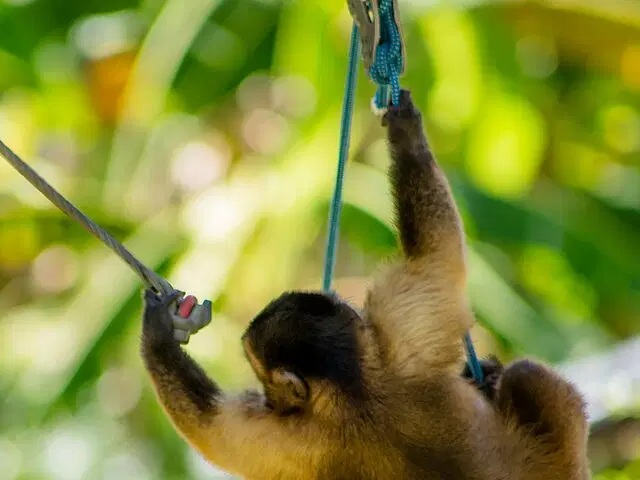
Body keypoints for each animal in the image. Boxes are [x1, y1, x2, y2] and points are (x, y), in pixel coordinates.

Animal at [140, 90, 591, 480]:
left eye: (263, 378)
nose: (268, 399)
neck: (355, 391)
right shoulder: (295, 429)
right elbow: (435, 253)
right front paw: (159, 334)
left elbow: (210, 426)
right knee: (529, 376)